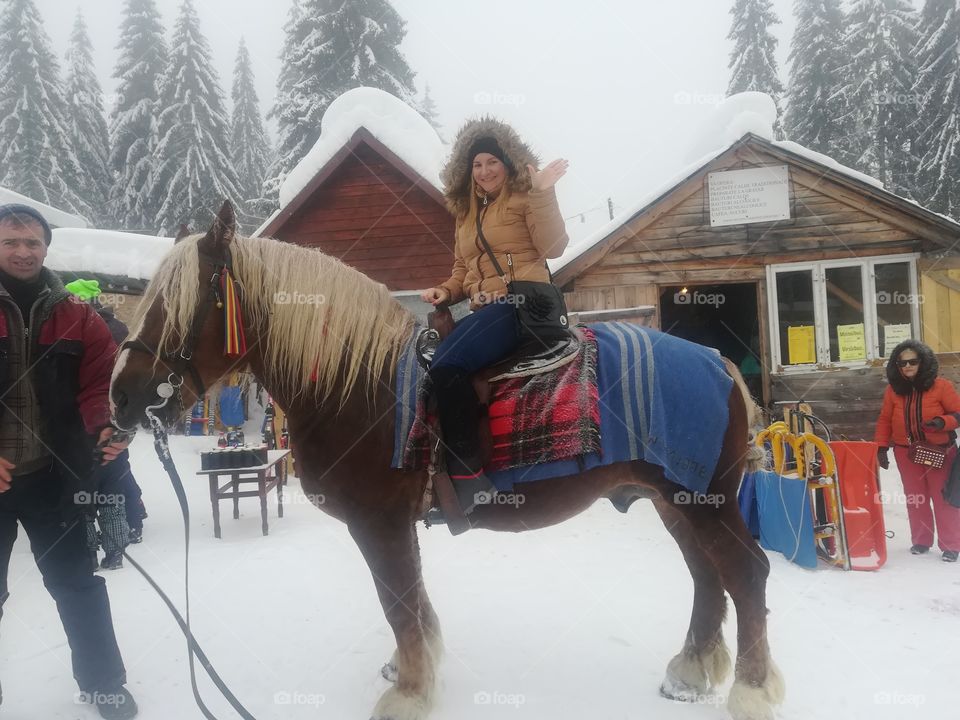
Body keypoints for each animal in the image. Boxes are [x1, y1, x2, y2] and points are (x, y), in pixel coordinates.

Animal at [110, 202, 784, 720]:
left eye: (176, 304)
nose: (121, 395)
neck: (362, 388)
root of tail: (717, 362)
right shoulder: (395, 525)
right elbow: (412, 601)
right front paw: (417, 667)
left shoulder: (378, 523)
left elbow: (397, 601)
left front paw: (409, 692)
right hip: (678, 503)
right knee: (707, 576)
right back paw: (691, 671)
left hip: (704, 502)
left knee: (745, 574)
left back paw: (751, 690)